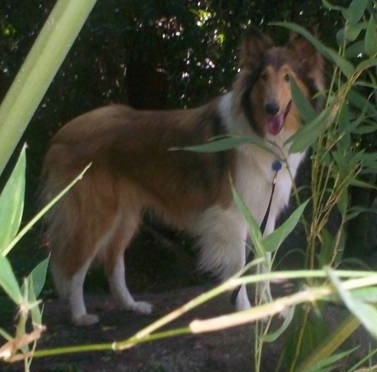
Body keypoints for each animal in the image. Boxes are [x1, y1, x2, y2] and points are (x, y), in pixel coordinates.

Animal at [40, 28, 324, 326]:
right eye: (263, 77)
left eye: (288, 78)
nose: (272, 108)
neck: (258, 131)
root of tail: (63, 133)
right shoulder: (232, 214)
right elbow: (238, 265)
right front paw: (245, 309)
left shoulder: (265, 215)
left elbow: (264, 262)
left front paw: (270, 307)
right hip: (97, 213)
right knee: (74, 266)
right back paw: (80, 315)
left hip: (125, 214)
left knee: (113, 261)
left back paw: (132, 305)